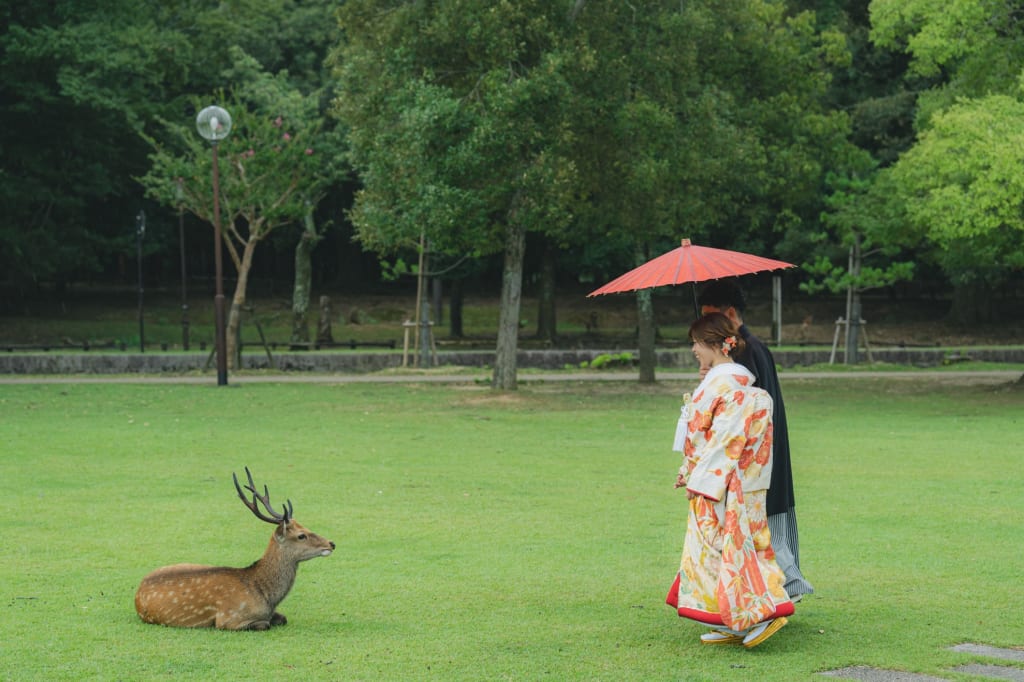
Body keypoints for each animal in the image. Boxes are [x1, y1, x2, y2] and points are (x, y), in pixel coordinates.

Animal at [135, 464, 335, 630]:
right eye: (301, 535)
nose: (331, 543)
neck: (266, 596)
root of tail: (137, 591)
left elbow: (283, 618)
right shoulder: (228, 618)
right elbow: (264, 624)